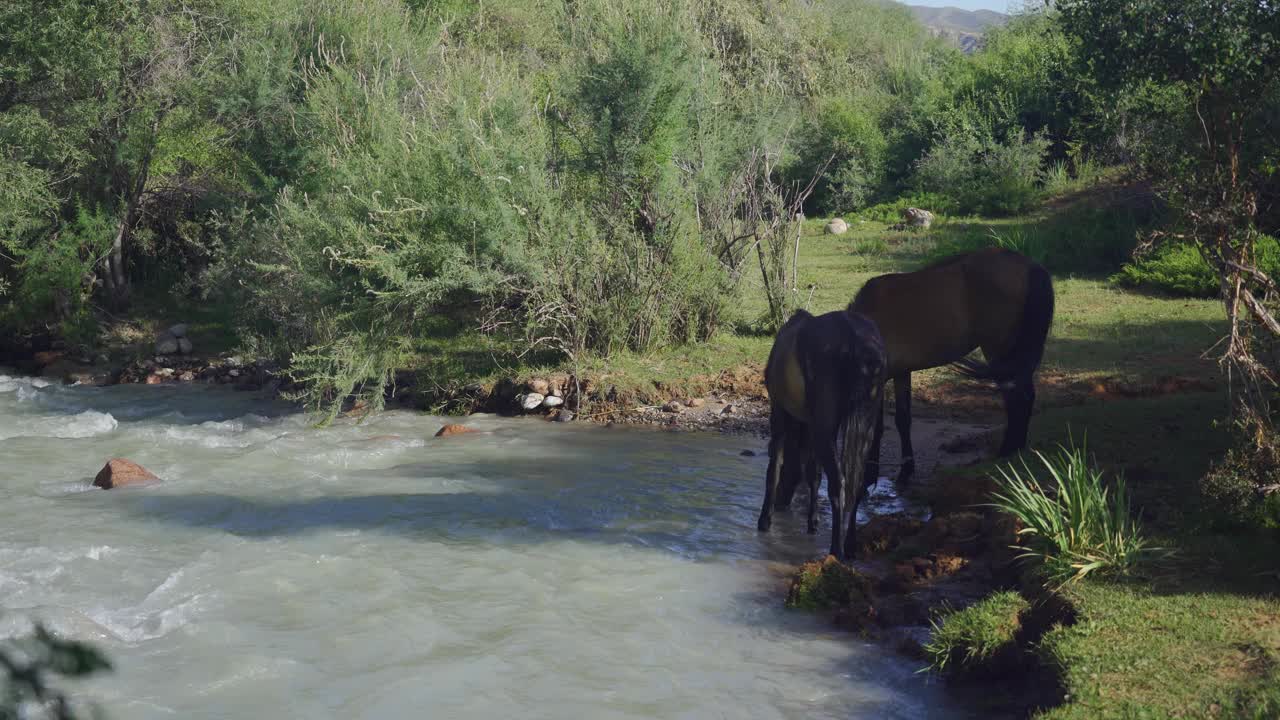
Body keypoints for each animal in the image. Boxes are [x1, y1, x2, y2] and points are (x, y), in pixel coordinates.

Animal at [752, 304, 885, 558]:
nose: (782, 501)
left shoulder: (780, 411)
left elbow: (775, 466)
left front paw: (765, 519)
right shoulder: (812, 424)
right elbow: (813, 472)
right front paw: (812, 522)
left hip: (823, 425)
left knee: (839, 481)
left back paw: (836, 550)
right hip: (865, 419)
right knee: (856, 481)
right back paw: (850, 545)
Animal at [849, 245, 1059, 481]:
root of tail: (1030, 266)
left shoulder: (879, 379)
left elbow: (875, 428)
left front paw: (870, 476)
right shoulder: (901, 373)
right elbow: (902, 420)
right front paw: (905, 470)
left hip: (1000, 350)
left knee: (1017, 397)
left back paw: (1008, 451)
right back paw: (1015, 449)